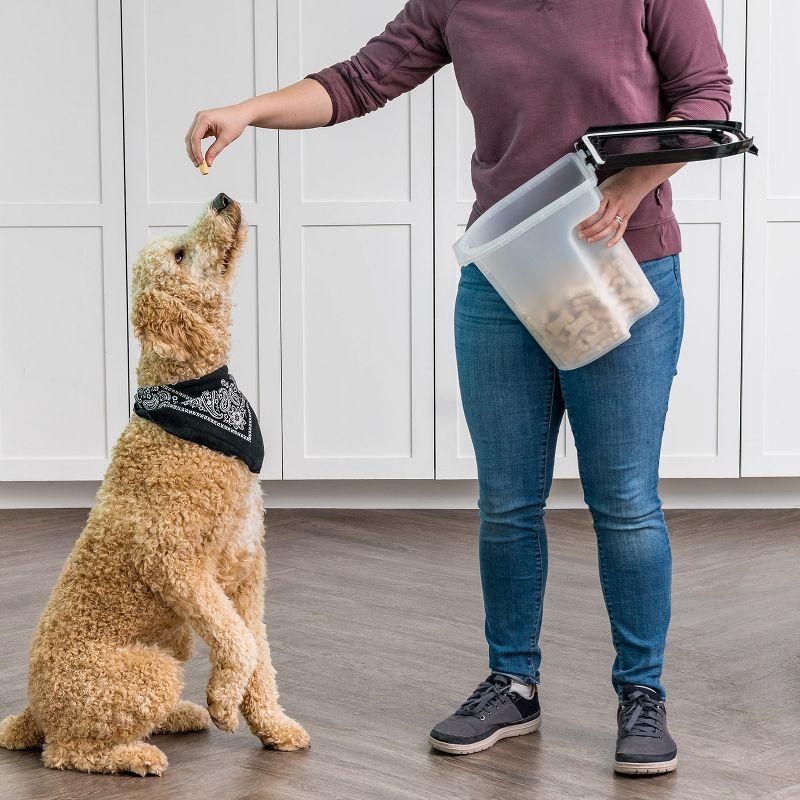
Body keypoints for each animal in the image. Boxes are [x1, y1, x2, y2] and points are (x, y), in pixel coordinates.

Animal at [0, 192, 310, 776]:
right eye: (181, 255)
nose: (221, 197)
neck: (190, 391)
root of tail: (34, 709)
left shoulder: (246, 572)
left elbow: (258, 650)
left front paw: (272, 726)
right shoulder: (177, 565)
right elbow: (238, 643)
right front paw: (224, 701)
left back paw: (180, 716)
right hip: (145, 673)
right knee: (67, 752)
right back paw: (138, 754)